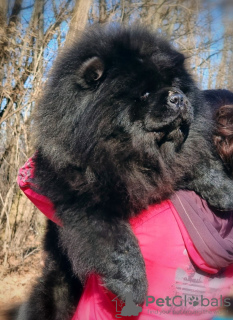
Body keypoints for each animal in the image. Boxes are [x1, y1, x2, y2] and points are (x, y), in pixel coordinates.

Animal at [11, 25, 233, 320]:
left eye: (175, 84)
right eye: (144, 93)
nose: (178, 97)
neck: (128, 149)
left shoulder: (170, 161)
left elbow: (195, 163)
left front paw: (225, 190)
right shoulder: (77, 195)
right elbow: (117, 239)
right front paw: (132, 288)